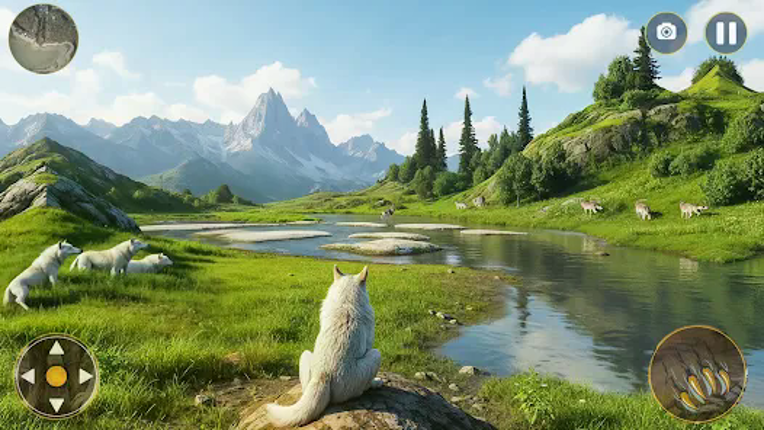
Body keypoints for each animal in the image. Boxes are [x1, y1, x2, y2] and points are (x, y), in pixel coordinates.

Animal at [266, 265, 381, 427]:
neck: (346, 301)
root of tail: (323, 375)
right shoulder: (370, 343)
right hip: (376, 355)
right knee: (364, 386)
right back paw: (376, 383)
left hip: (305, 355)